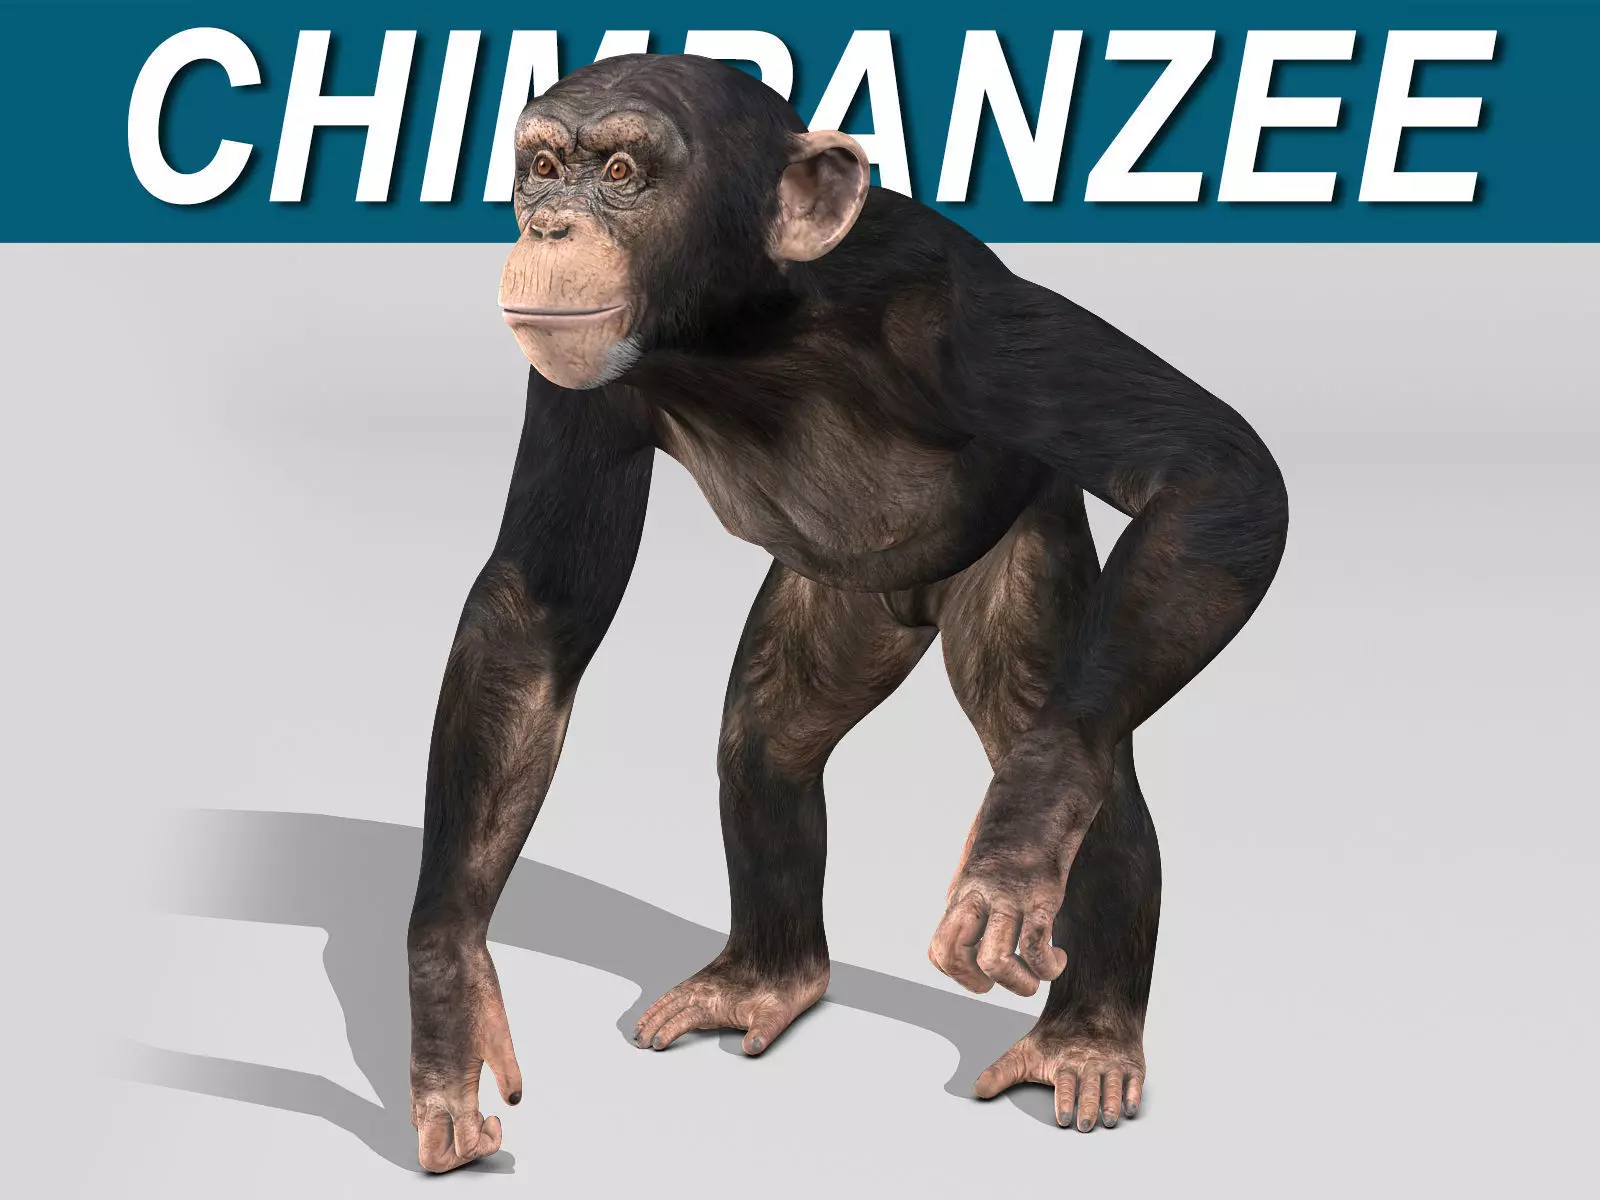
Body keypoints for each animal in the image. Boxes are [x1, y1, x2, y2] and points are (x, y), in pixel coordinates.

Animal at [405, 52, 1288, 1172]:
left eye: (621, 172)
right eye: (544, 168)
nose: (549, 227)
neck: (744, 324)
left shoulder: (957, 312)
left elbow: (1213, 472)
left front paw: (1015, 848)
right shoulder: (574, 380)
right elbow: (534, 622)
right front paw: (448, 1007)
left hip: (1027, 551)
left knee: (1077, 745)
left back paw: (1084, 1036)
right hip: (843, 607)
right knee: (768, 739)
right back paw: (767, 978)